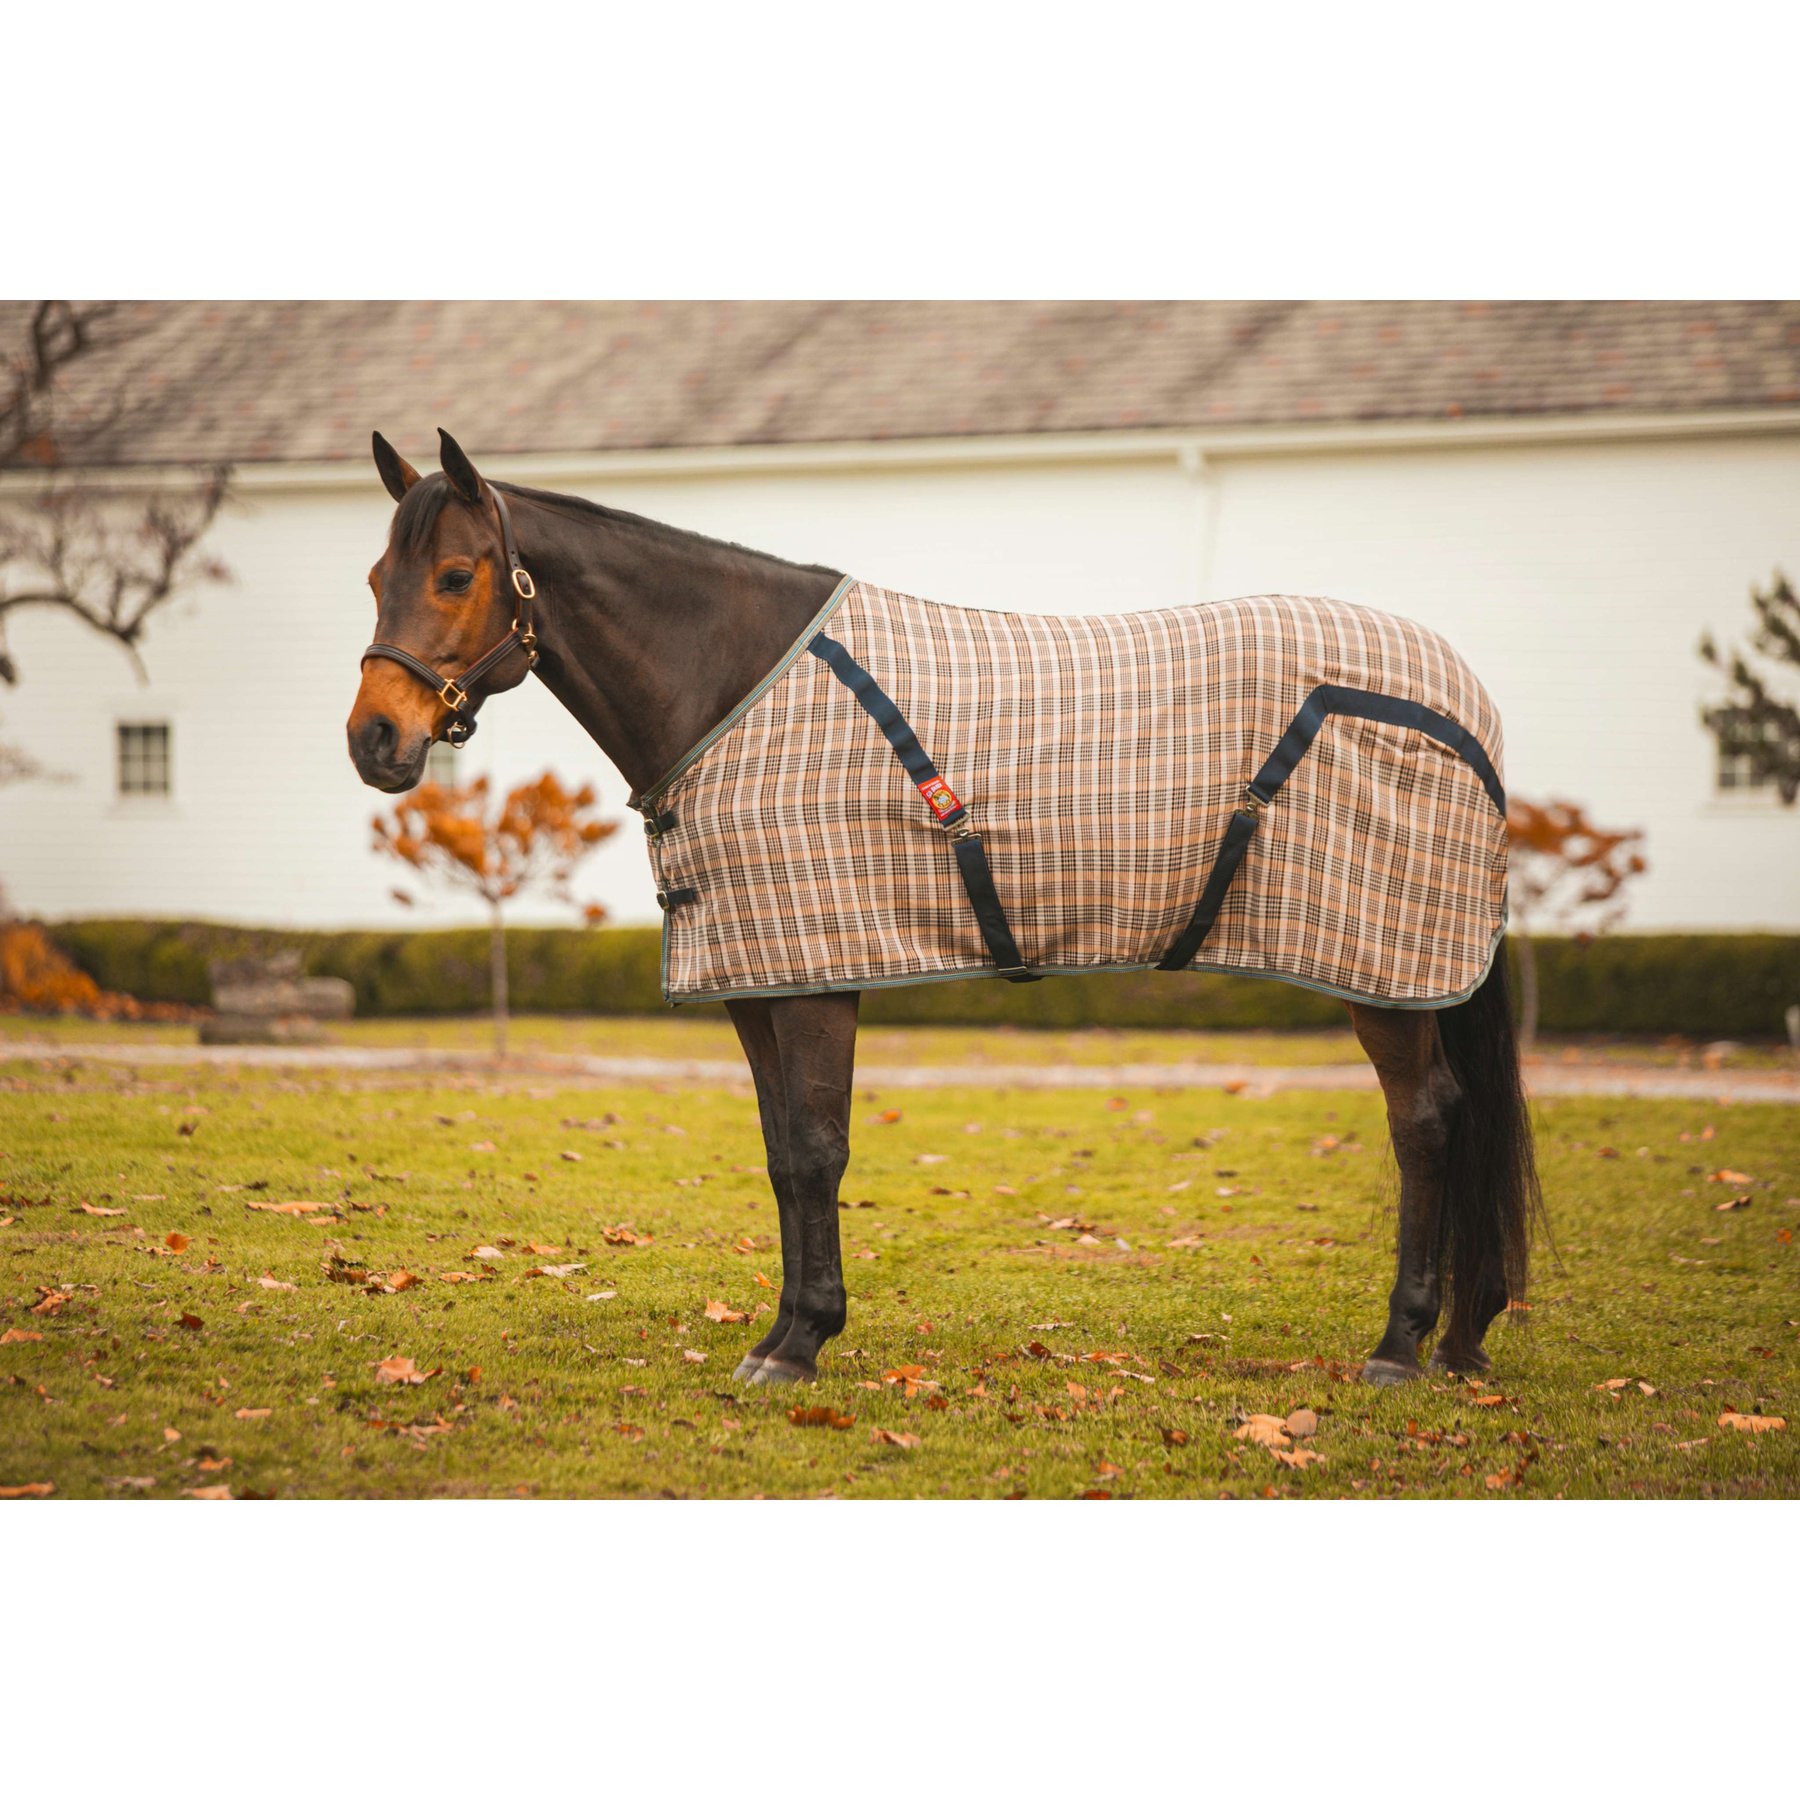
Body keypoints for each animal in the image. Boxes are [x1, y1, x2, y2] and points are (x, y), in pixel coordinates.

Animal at [347, 429, 1539, 1388]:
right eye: (372, 576)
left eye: (456, 574)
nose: (375, 740)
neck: (730, 687)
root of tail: (1465, 700)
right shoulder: (757, 975)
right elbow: (779, 1154)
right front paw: (781, 1334)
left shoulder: (818, 976)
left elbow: (817, 1150)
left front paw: (800, 1345)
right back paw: (1458, 1338)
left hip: (1383, 964)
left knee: (1425, 1119)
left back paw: (1399, 1347)